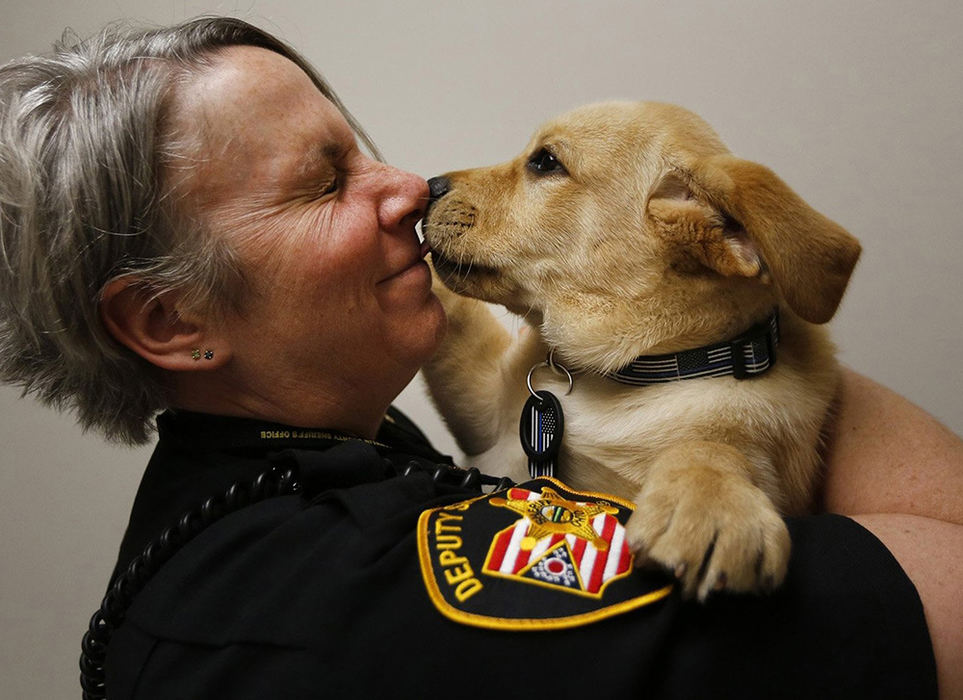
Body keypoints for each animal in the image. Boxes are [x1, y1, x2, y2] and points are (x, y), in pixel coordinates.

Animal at [426, 101, 864, 600]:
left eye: (545, 162)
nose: (428, 187)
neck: (627, 372)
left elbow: (710, 448)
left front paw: (711, 501)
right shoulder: (482, 416)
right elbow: (454, 310)